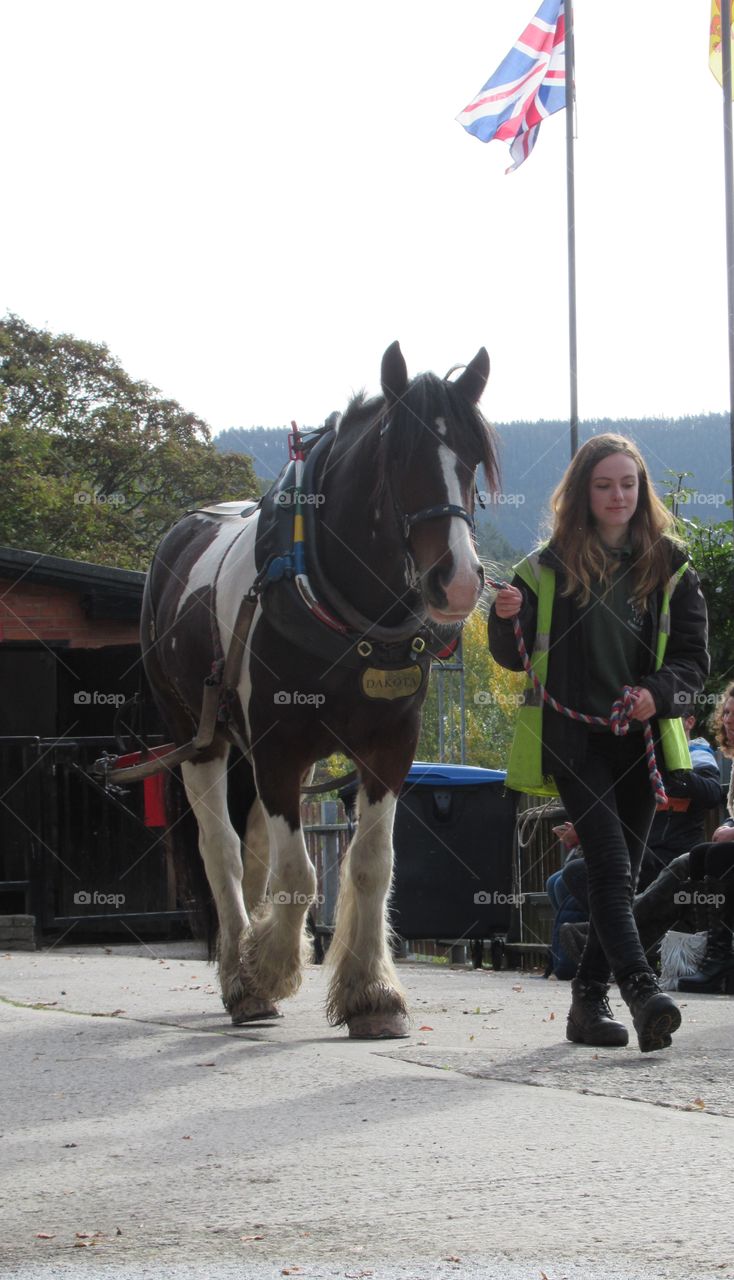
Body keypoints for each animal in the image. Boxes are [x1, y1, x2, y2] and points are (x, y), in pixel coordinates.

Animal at [141, 340, 497, 1039]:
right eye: (401, 458)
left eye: (472, 459)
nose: (460, 582)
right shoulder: (281, 744)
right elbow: (301, 874)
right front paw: (270, 968)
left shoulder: (390, 746)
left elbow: (370, 863)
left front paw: (372, 993)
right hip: (198, 737)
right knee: (223, 851)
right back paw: (241, 978)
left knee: (253, 851)